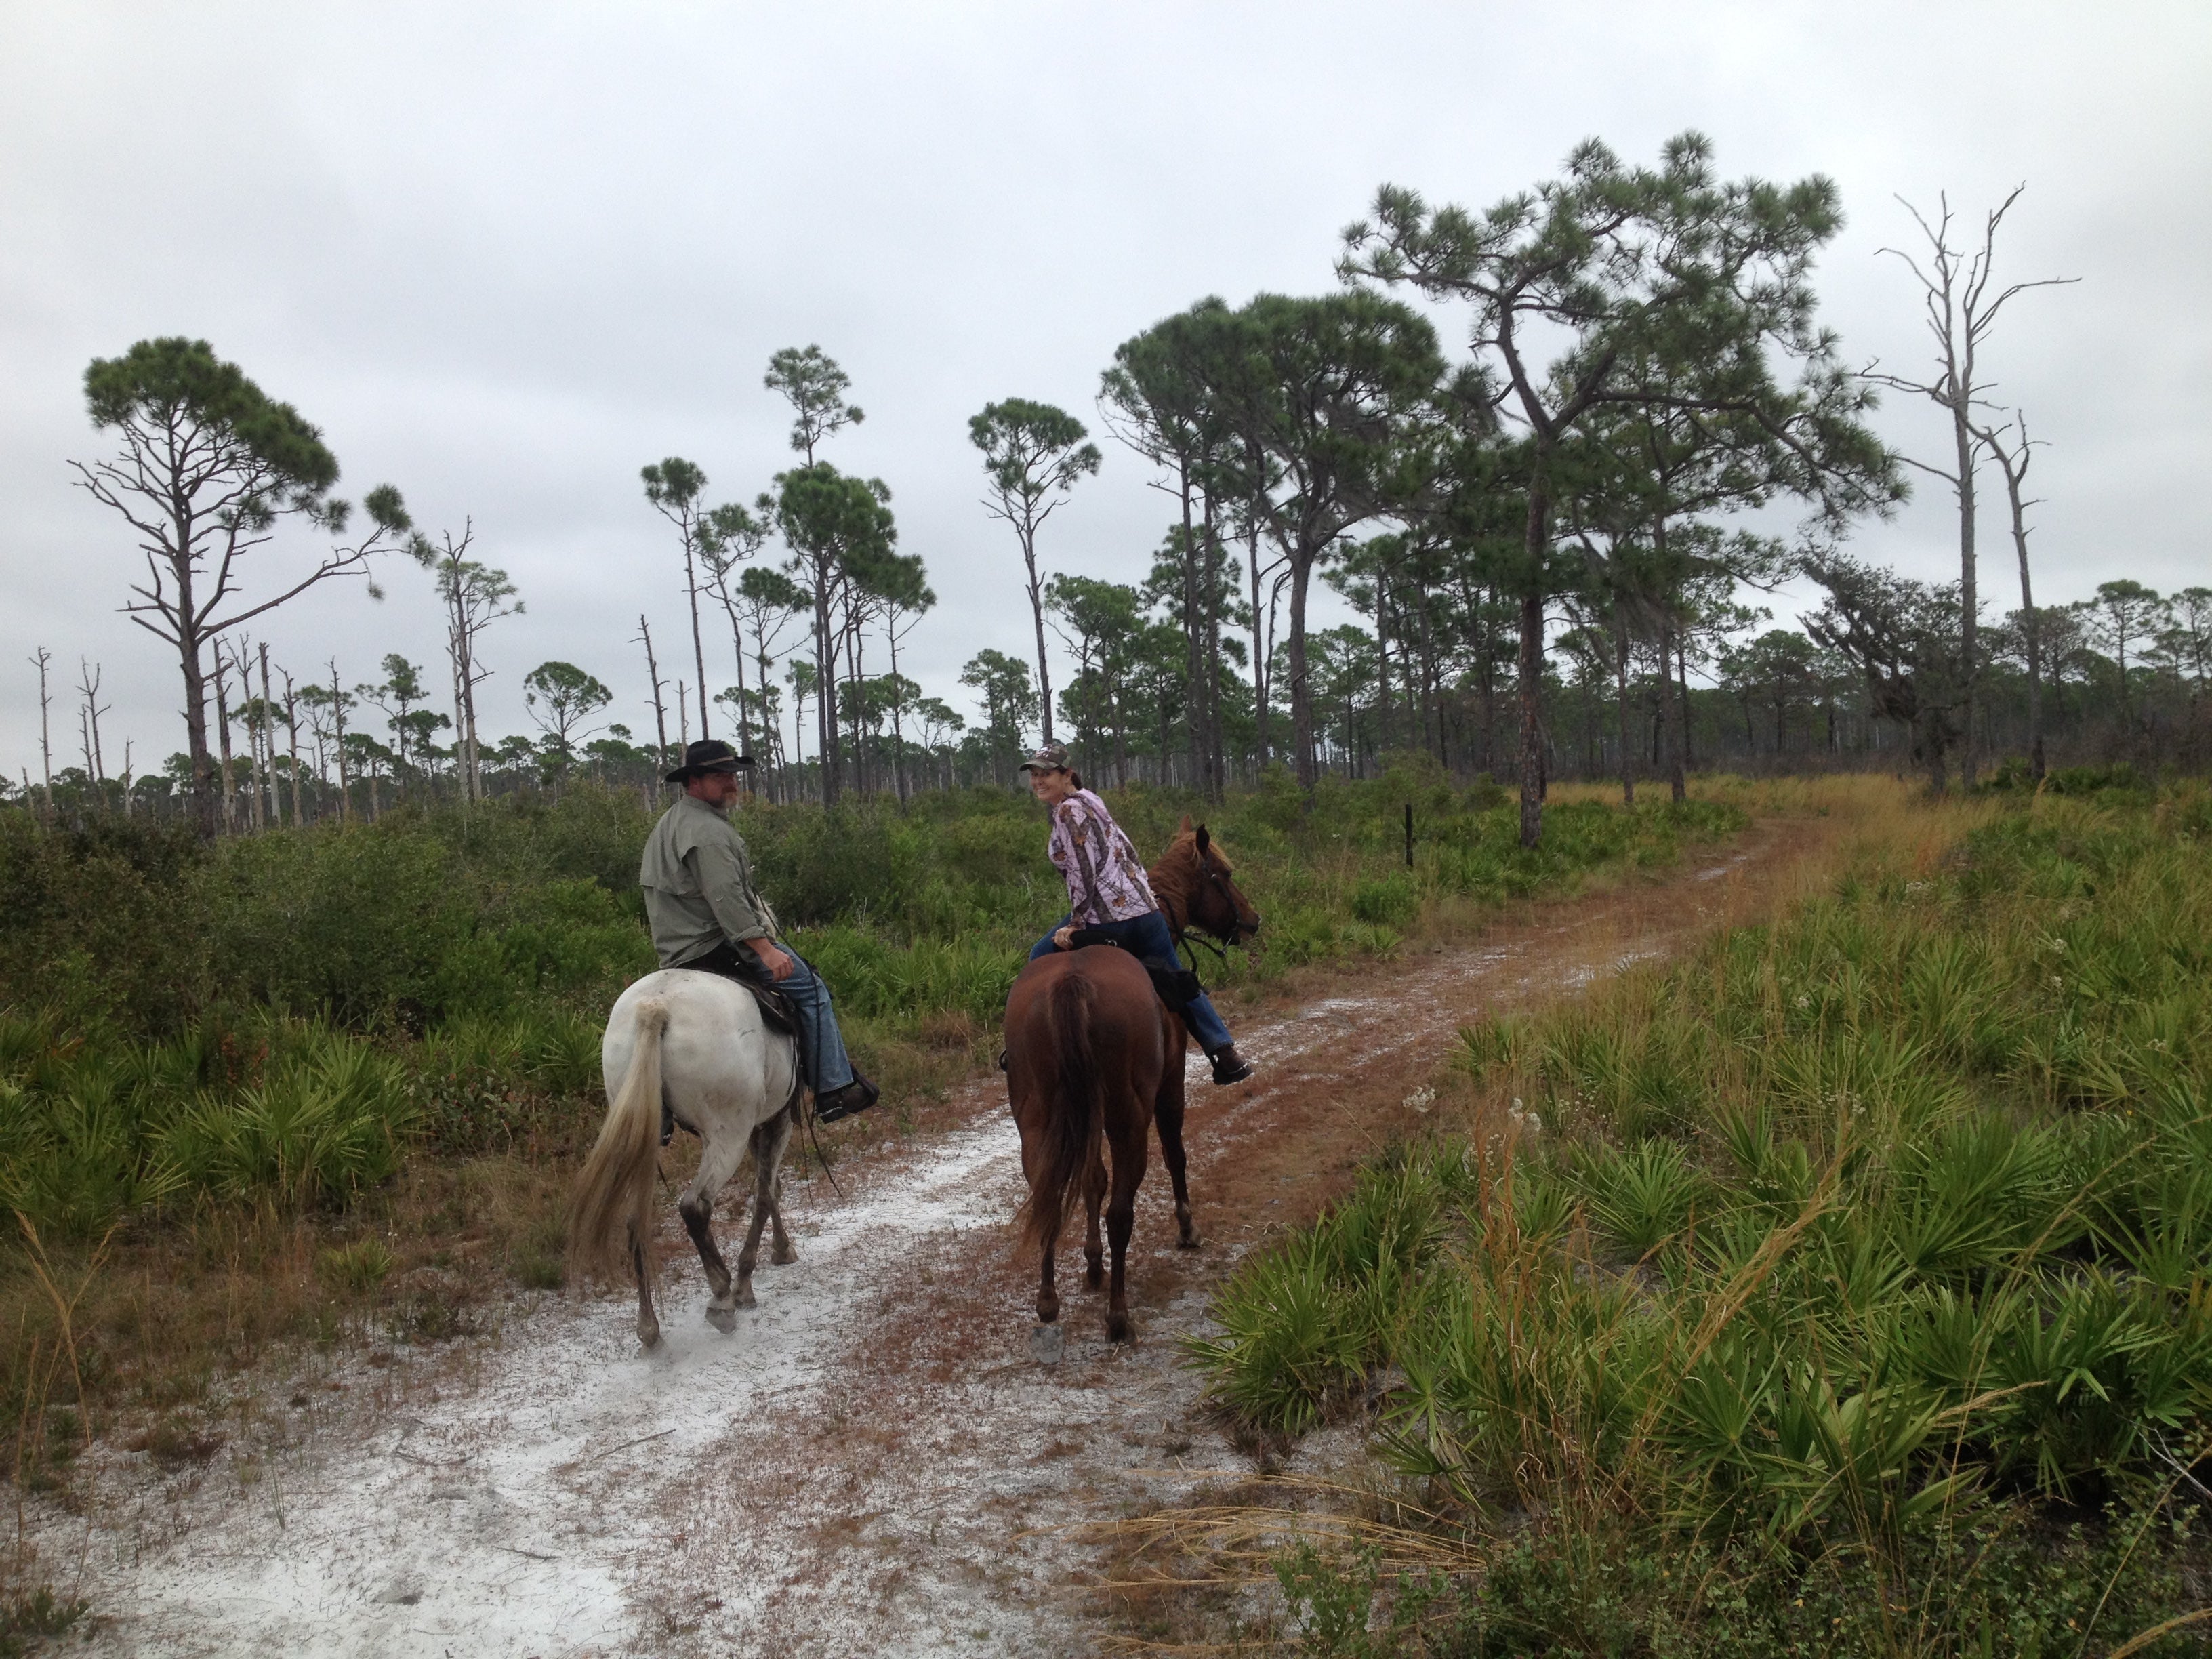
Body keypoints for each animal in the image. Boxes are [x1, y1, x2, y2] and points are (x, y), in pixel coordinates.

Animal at [566, 971, 804, 1349]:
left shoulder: (763, 1124)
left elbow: (771, 1188)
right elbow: (766, 1194)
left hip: (645, 1128)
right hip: (727, 1133)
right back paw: (722, 1299)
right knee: (696, 1206)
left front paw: (780, 1250)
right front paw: (748, 1282)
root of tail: (656, 1007)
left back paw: (649, 1327)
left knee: (636, 1221)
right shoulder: (779, 1120)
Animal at [1006, 820, 1261, 1342]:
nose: (1252, 921)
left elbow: (1091, 1179)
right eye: (1223, 874)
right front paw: (1187, 1228)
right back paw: (1119, 1317)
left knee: (1048, 1193)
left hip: (1037, 1117)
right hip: (1129, 1117)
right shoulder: (1170, 1086)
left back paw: (1049, 1302)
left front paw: (1091, 1266)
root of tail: (1072, 984)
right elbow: (1175, 1154)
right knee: (1122, 1211)